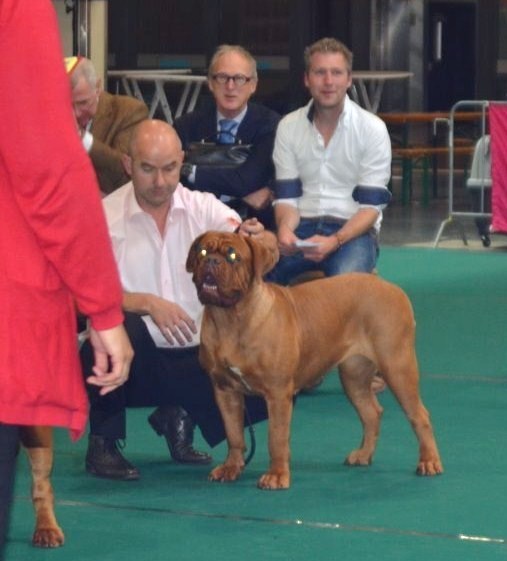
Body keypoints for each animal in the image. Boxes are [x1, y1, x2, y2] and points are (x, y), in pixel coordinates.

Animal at [187, 230, 444, 488]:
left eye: (233, 256)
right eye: (202, 251)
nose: (211, 261)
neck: (230, 318)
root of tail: (393, 288)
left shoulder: (278, 393)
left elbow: (276, 437)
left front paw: (277, 475)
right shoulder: (225, 391)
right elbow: (234, 434)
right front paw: (231, 468)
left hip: (397, 366)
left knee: (419, 415)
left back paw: (429, 461)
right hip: (354, 375)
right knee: (371, 413)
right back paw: (363, 454)